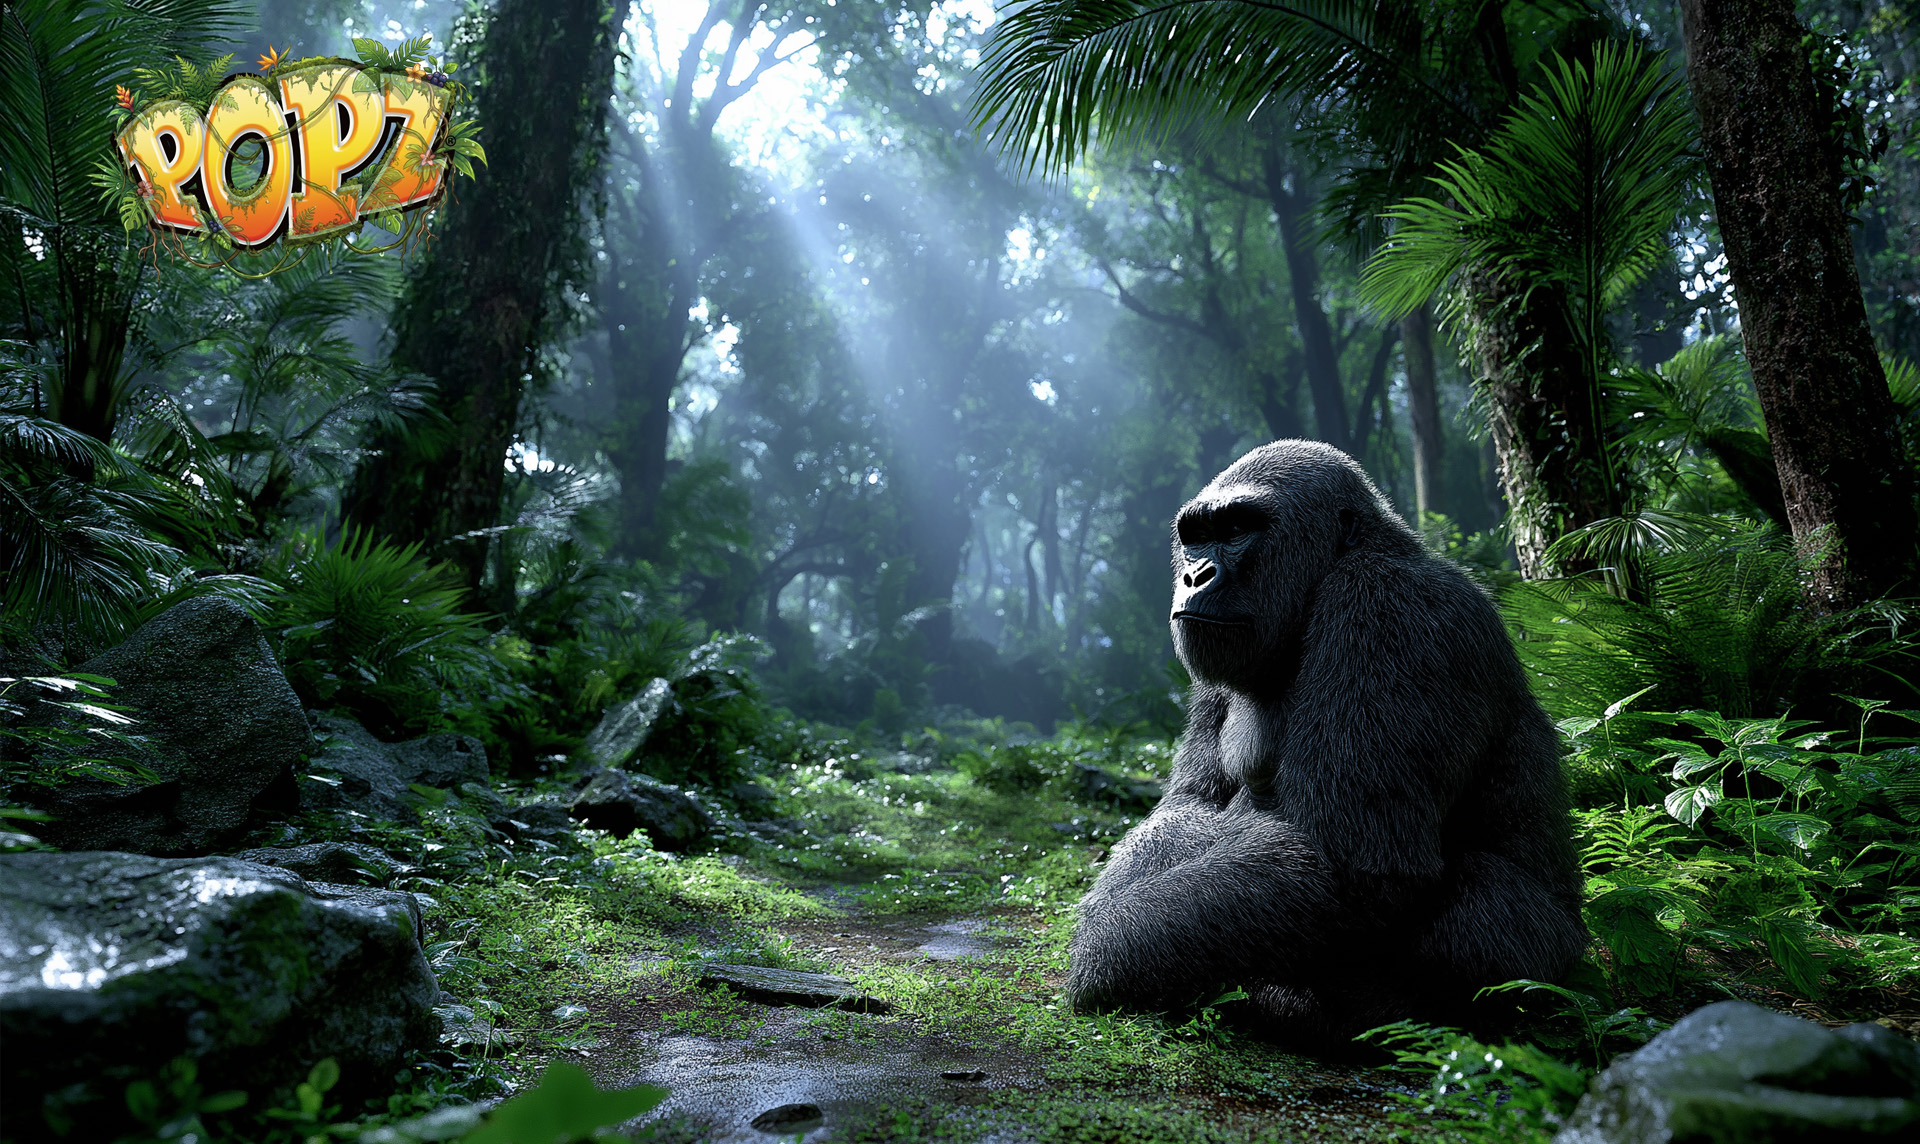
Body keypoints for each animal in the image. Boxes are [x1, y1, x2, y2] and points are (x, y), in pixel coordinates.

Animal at [1067, 440, 1587, 1044]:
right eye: (1197, 535)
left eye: (1238, 528)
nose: (1196, 575)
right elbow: (1189, 808)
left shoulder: (1390, 607)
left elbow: (1340, 861)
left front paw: (1103, 952)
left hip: (1557, 962)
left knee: (1476, 899)